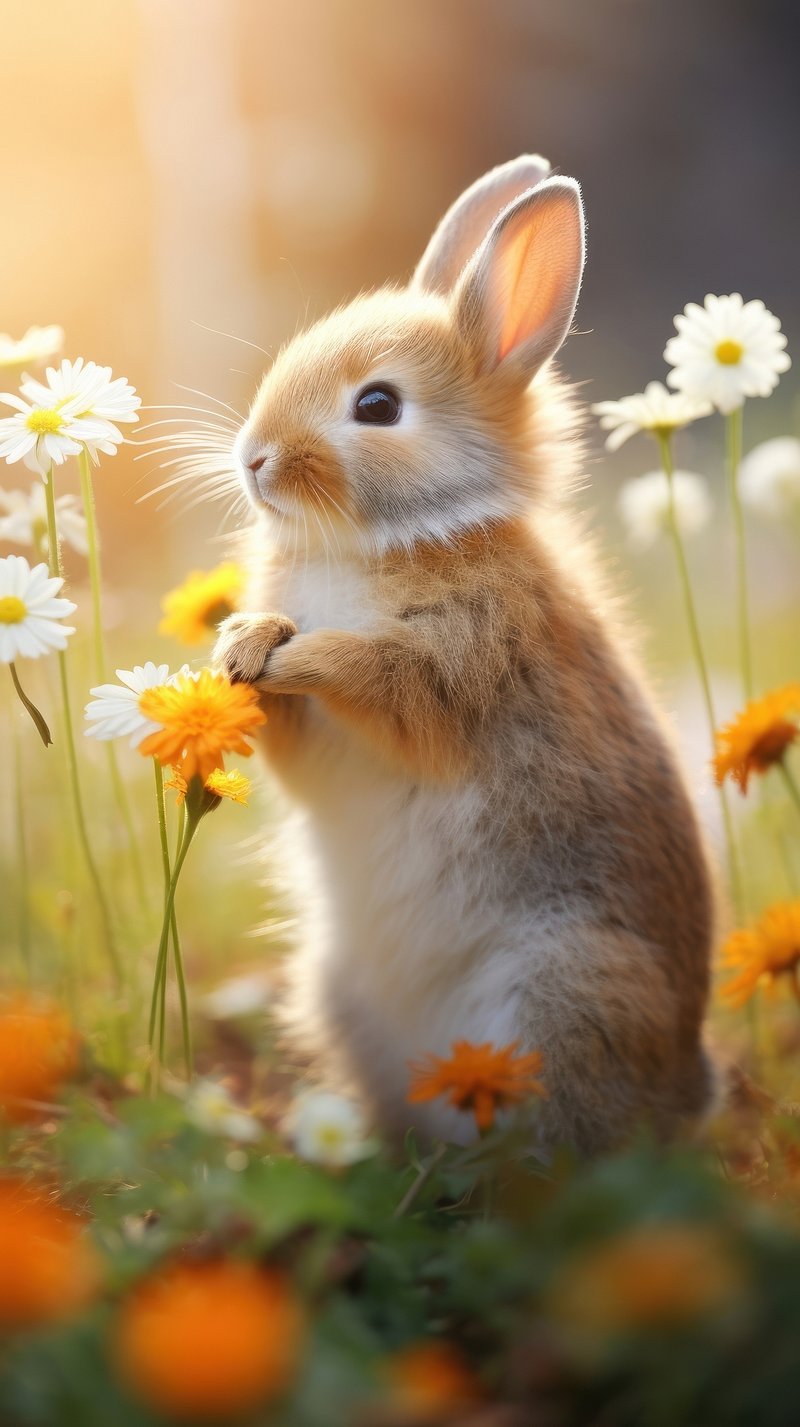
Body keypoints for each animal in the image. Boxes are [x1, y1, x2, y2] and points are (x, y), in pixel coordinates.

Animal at [213, 154, 716, 1155]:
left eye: (377, 405)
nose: (254, 459)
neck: (379, 543)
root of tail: (687, 1082)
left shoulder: (462, 668)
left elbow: (377, 676)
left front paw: (301, 654)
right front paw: (246, 645)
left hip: (566, 991)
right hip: (344, 994)